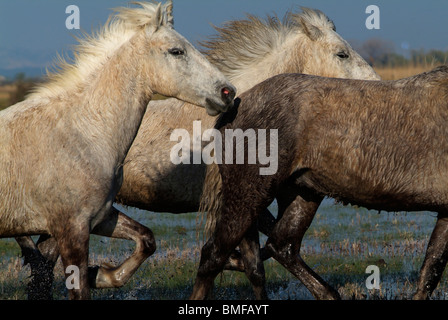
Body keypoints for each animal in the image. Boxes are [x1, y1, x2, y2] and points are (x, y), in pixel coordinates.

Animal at [2, 0, 234, 300]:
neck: (81, 133)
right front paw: (97, 275)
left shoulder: (101, 217)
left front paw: (101, 275)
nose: (228, 92)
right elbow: (79, 290)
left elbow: (146, 239)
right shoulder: (72, 230)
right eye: (176, 51)